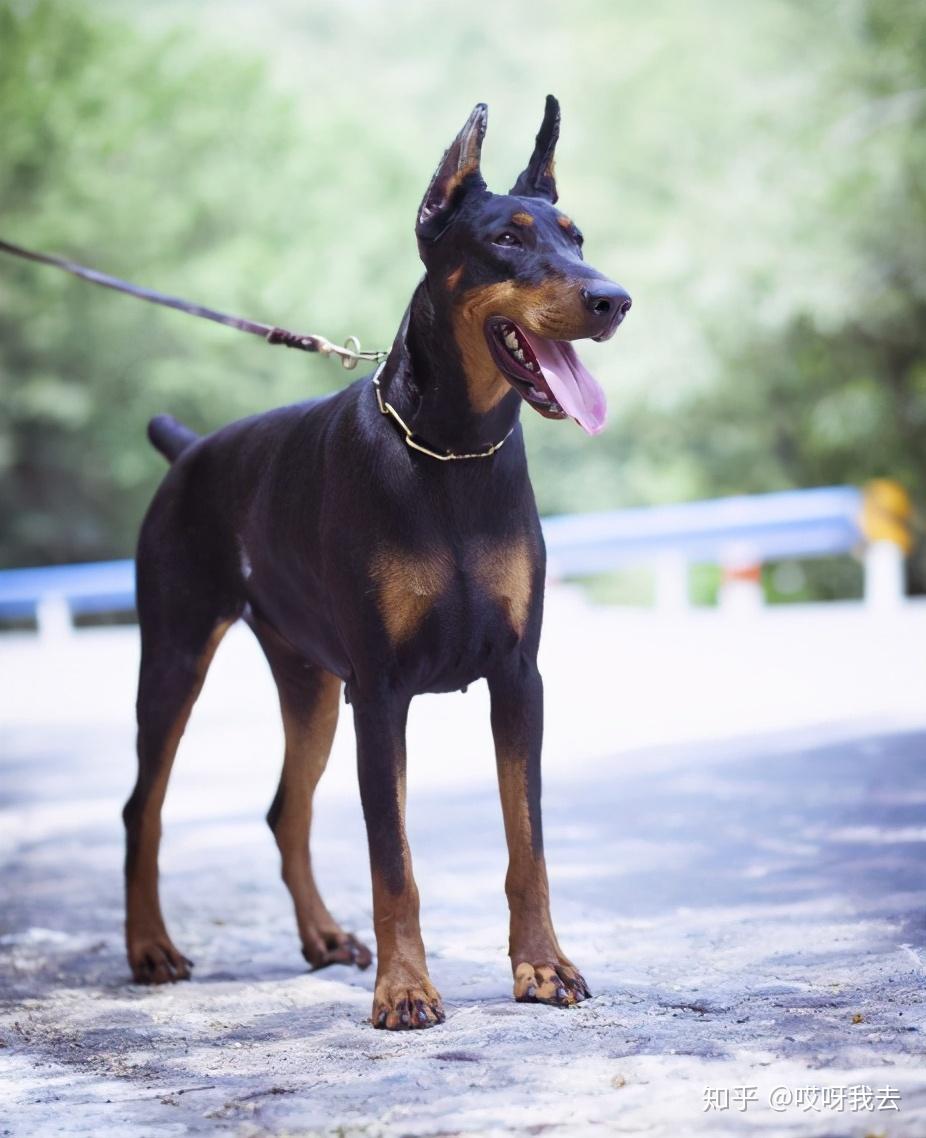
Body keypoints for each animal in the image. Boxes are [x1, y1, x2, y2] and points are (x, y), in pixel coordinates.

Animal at [125, 93, 632, 1028]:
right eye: (506, 239)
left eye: (577, 237)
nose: (613, 298)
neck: (452, 451)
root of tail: (188, 452)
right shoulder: (383, 690)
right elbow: (393, 860)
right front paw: (404, 990)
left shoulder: (519, 677)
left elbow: (528, 843)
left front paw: (542, 966)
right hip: (176, 657)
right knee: (144, 806)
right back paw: (149, 947)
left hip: (310, 683)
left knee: (285, 810)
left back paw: (323, 937)